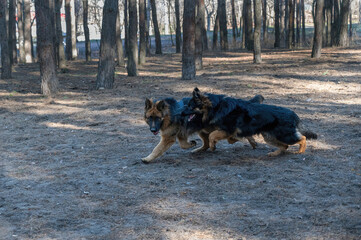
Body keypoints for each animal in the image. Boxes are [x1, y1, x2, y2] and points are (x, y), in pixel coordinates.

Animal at [183, 87, 316, 156]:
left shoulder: (227, 130)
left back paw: (300, 151)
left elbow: (212, 135)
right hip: (269, 137)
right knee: (285, 146)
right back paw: (274, 153)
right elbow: (218, 136)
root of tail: (293, 113)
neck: (216, 107)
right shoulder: (227, 131)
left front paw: (212, 146)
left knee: (302, 138)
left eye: (190, 106)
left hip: (284, 135)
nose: (181, 113)